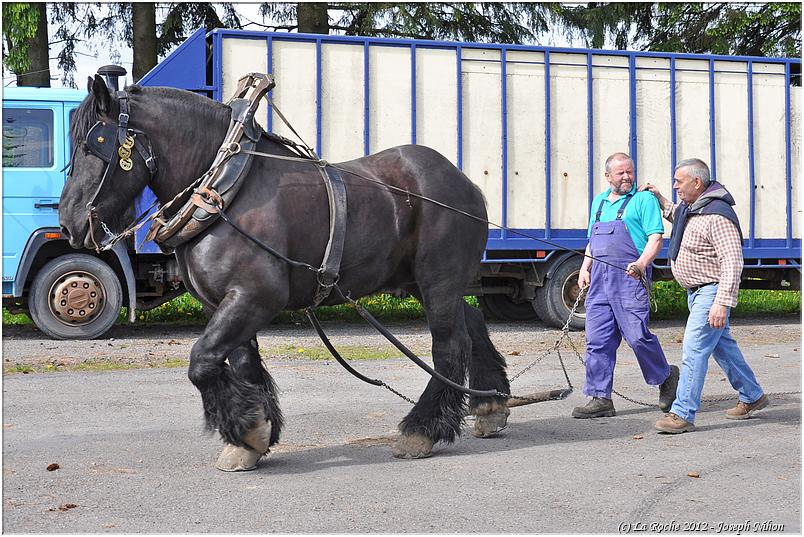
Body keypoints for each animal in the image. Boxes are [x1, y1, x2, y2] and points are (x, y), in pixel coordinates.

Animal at [58, 75, 508, 468]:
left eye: (94, 144)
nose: (69, 223)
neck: (225, 190)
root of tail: (466, 184)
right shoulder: (223, 303)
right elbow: (241, 364)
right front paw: (251, 436)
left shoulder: (257, 296)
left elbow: (201, 359)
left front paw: (248, 430)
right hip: (420, 281)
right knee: (472, 322)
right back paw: (490, 403)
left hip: (438, 280)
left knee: (449, 345)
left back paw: (422, 429)